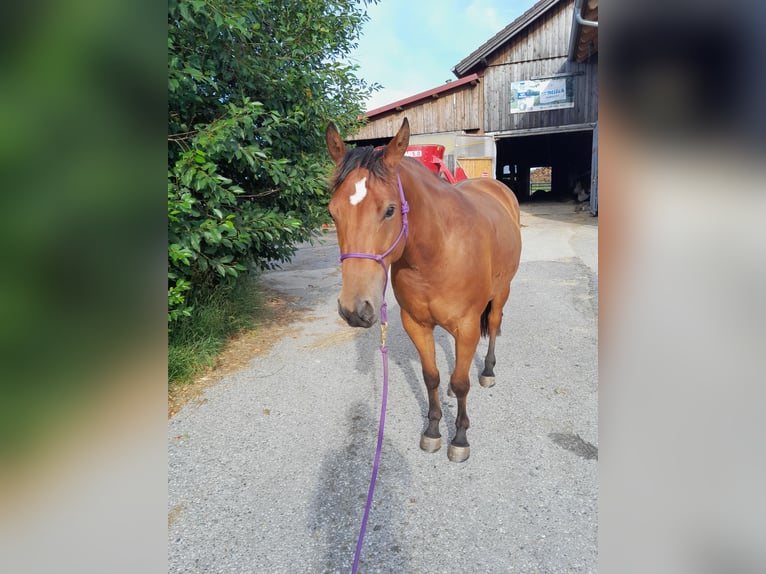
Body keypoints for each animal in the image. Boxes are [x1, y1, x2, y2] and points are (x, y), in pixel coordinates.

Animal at [325, 118, 522, 462]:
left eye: (390, 210)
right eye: (332, 212)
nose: (355, 309)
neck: (438, 250)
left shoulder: (468, 325)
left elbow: (462, 382)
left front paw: (459, 438)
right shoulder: (416, 324)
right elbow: (433, 377)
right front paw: (432, 431)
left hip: (501, 292)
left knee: (494, 324)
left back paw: (487, 371)